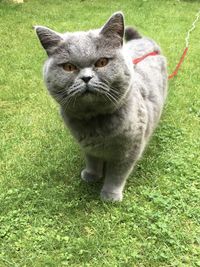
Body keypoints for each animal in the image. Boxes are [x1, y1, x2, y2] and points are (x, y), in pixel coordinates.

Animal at [34, 11, 167, 202]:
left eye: (102, 62)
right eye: (69, 67)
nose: (86, 78)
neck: (94, 121)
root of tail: (143, 40)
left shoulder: (128, 151)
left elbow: (116, 174)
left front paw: (110, 195)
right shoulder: (87, 146)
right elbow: (92, 160)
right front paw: (91, 175)